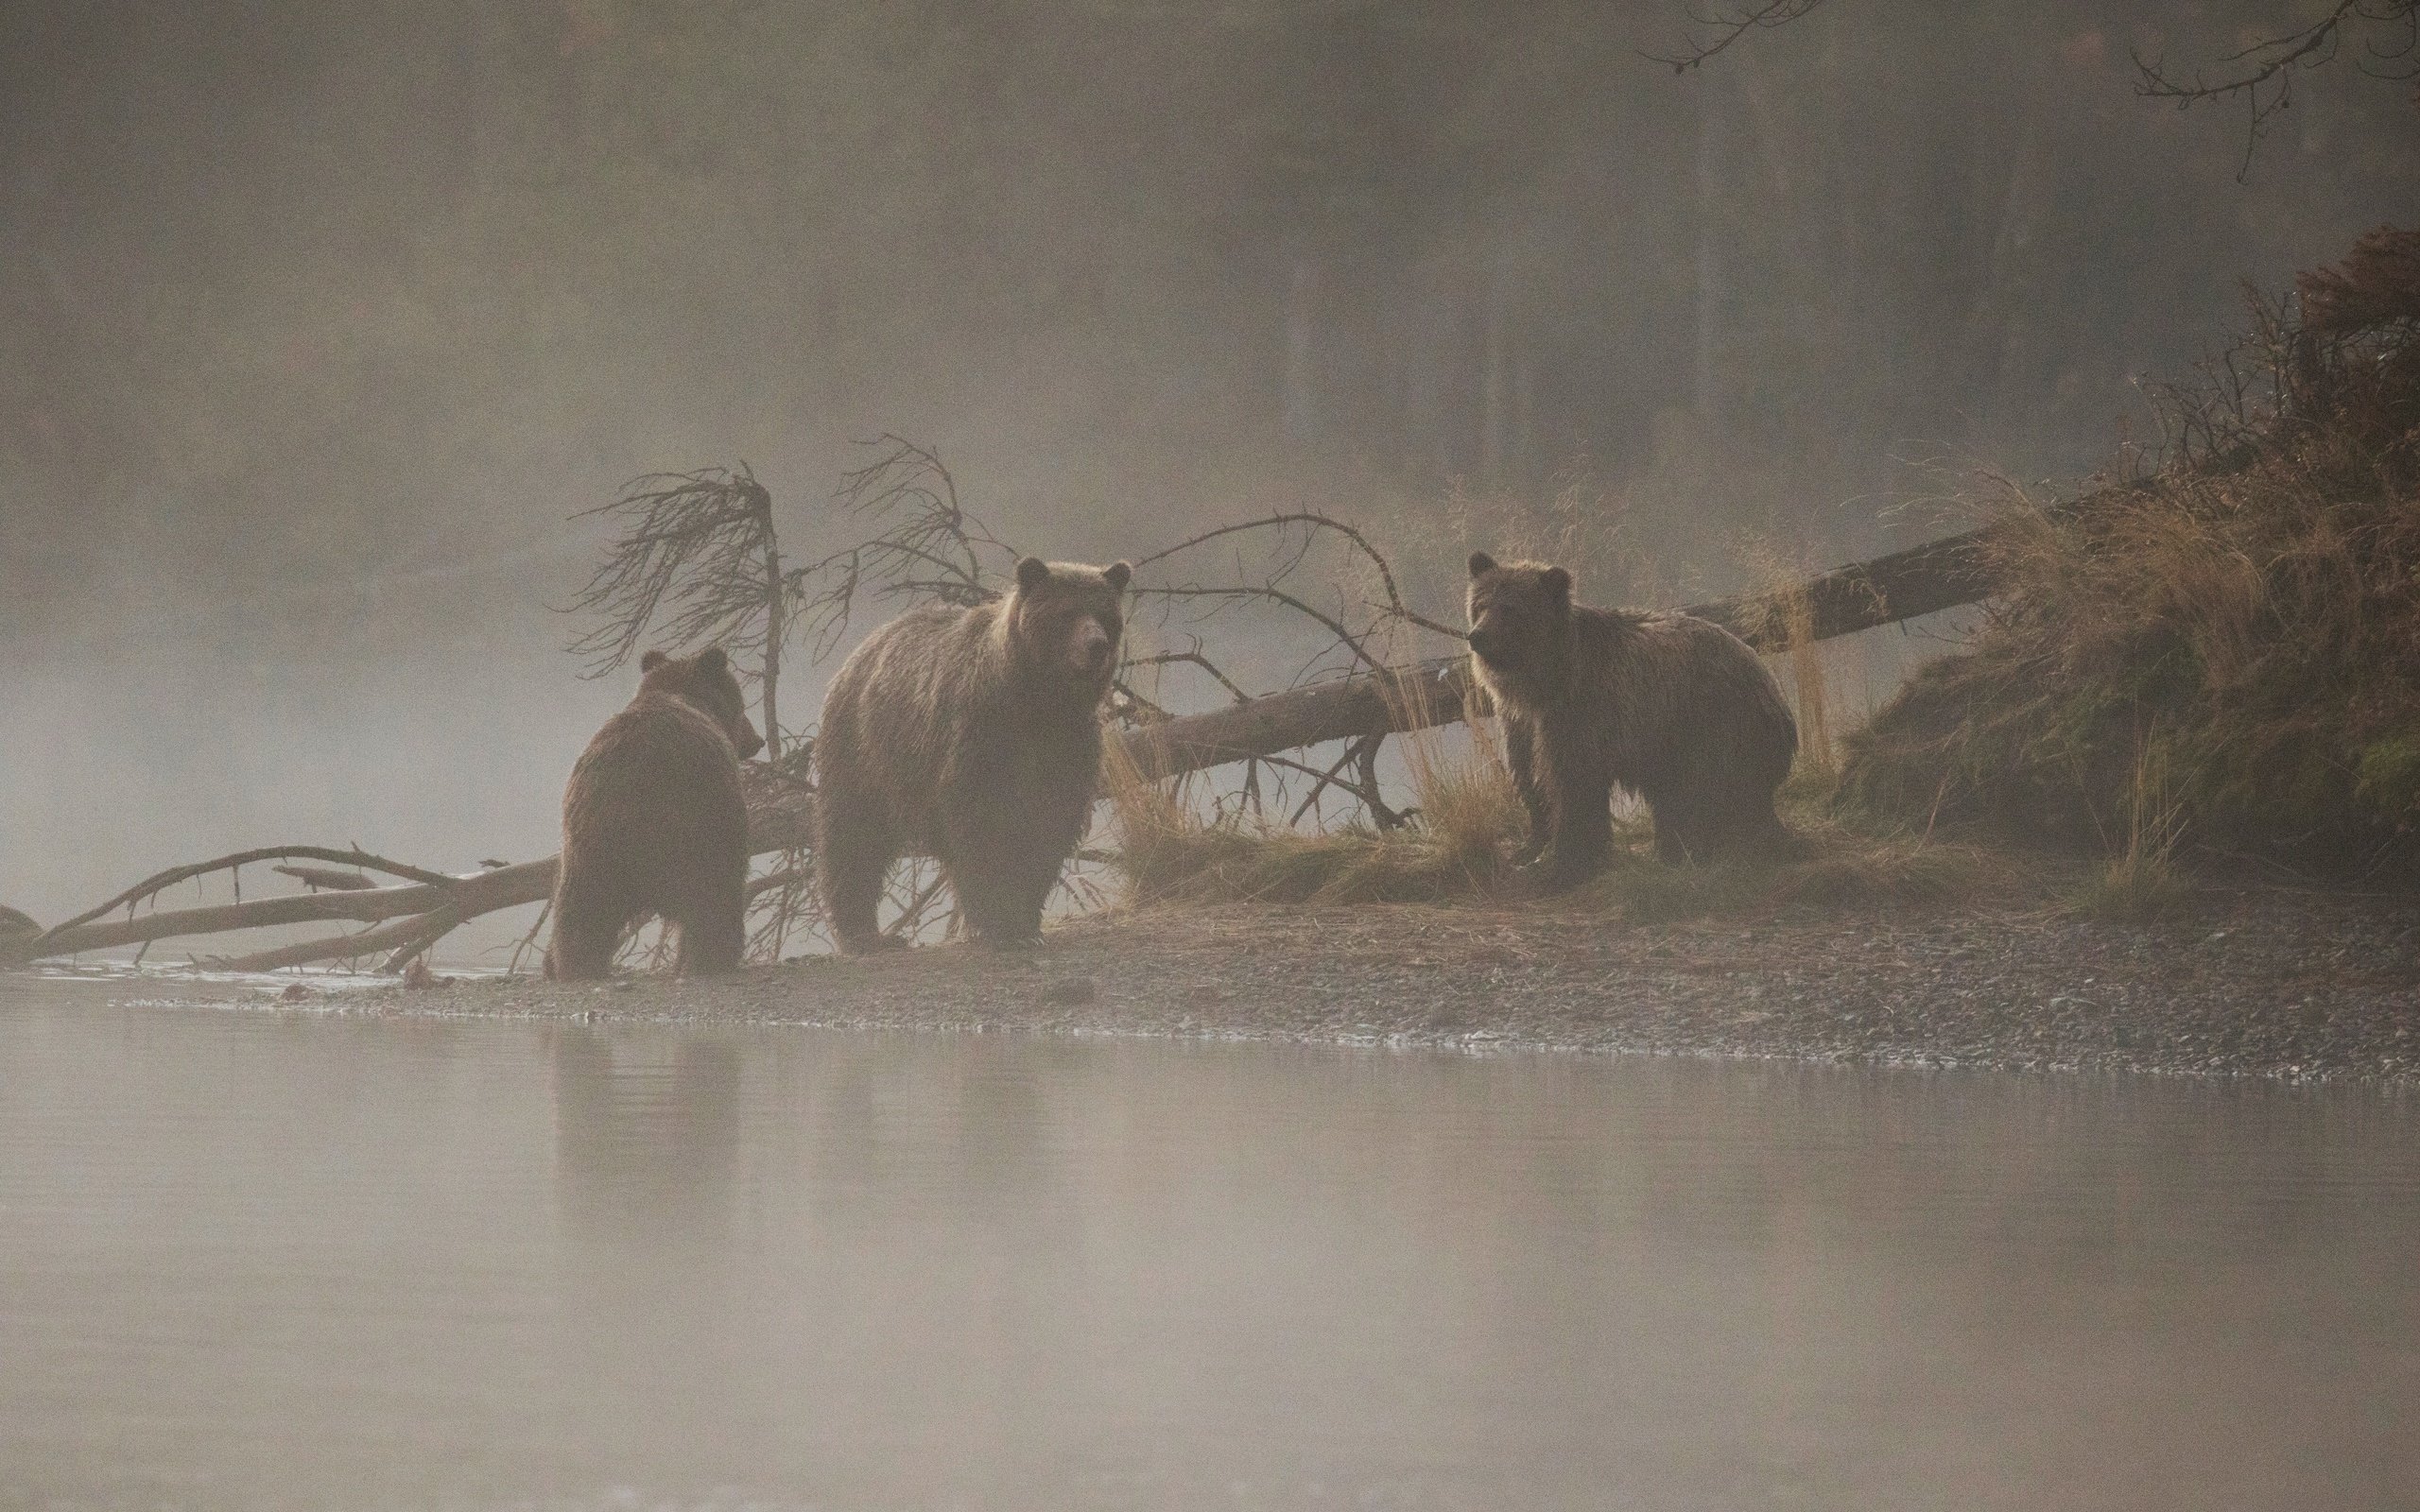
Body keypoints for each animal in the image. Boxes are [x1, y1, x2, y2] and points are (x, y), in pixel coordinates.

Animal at [549, 643, 764, 977]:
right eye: (742, 706)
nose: (757, 740)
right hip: (694, 827)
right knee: (714, 899)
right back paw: (712, 960)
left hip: (590, 848)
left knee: (581, 916)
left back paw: (576, 967)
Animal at [818, 554, 1127, 953]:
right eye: (1068, 612)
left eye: (1104, 613)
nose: (1096, 645)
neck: (1038, 702)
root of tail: (861, 649)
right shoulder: (980, 736)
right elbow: (981, 825)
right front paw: (1001, 923)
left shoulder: (1067, 746)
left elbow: (1050, 825)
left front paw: (1025, 921)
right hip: (864, 751)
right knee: (853, 836)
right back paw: (866, 934)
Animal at [1452, 554, 1800, 885]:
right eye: (1481, 604)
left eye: (1510, 609)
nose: (1477, 636)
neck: (1543, 682)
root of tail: (1772, 686)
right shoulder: (1520, 721)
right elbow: (1530, 776)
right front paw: (1529, 849)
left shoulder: (1580, 715)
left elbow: (1572, 785)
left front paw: (1564, 866)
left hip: (1713, 725)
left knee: (1706, 794)